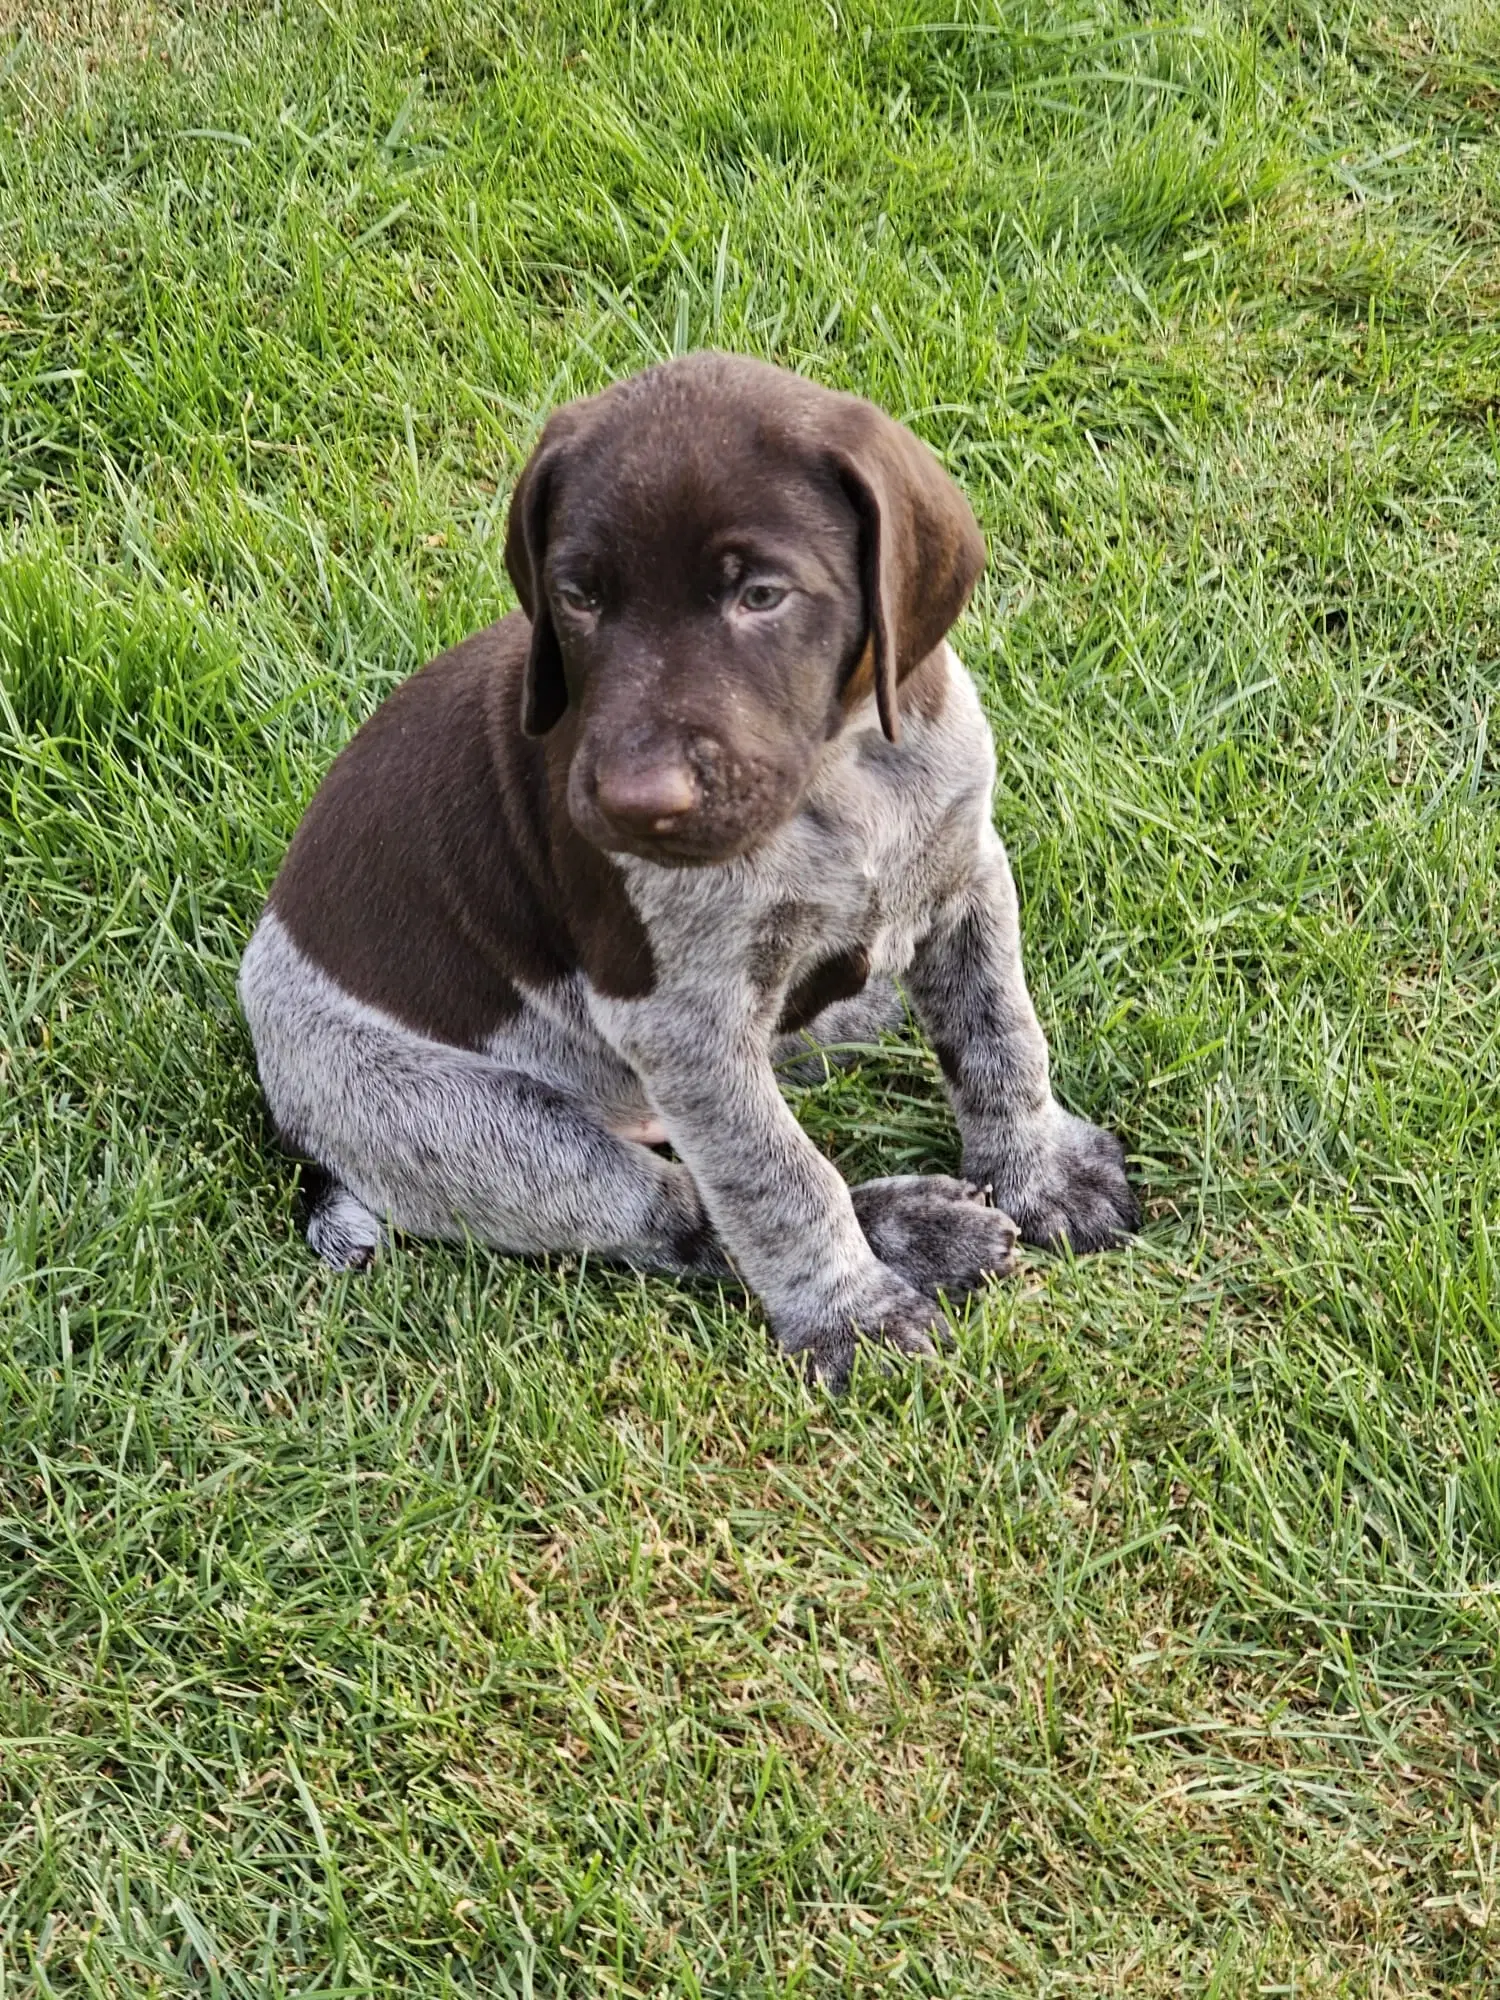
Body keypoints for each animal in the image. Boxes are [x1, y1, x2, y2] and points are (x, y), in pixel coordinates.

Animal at [238, 352, 1136, 1384]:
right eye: (579, 596)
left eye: (762, 596)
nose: (635, 803)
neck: (836, 780)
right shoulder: (680, 1023)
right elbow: (776, 1179)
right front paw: (851, 1314)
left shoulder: (964, 878)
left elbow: (1000, 1035)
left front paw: (1041, 1171)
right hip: (484, 1130)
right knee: (677, 1208)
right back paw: (912, 1229)